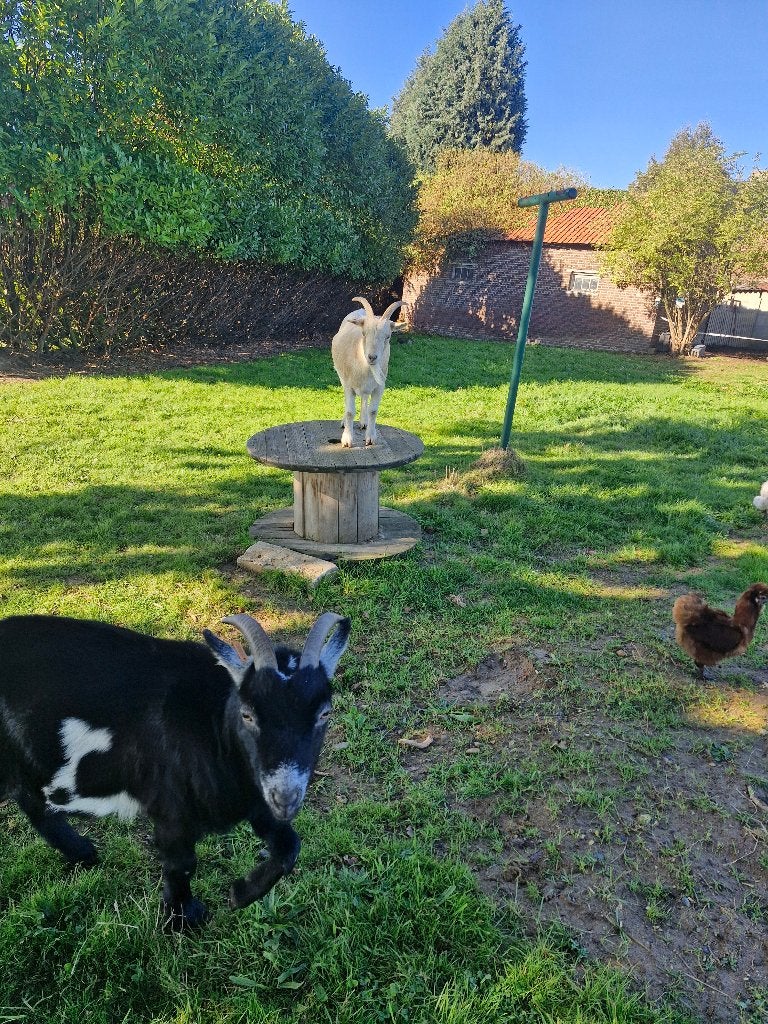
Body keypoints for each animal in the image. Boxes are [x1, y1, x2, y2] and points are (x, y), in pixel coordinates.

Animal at [0, 610, 350, 930]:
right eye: (248, 714)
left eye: (324, 713)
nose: (285, 798)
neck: (213, 727)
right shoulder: (170, 807)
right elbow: (181, 863)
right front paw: (184, 918)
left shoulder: (254, 798)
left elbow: (289, 846)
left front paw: (239, 894)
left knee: (32, 802)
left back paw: (83, 852)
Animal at [331, 296, 407, 447]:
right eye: (364, 333)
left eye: (388, 336)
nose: (372, 357)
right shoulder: (349, 386)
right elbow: (350, 411)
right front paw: (347, 440)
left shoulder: (379, 387)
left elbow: (373, 411)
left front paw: (370, 438)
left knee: (365, 397)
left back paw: (363, 422)